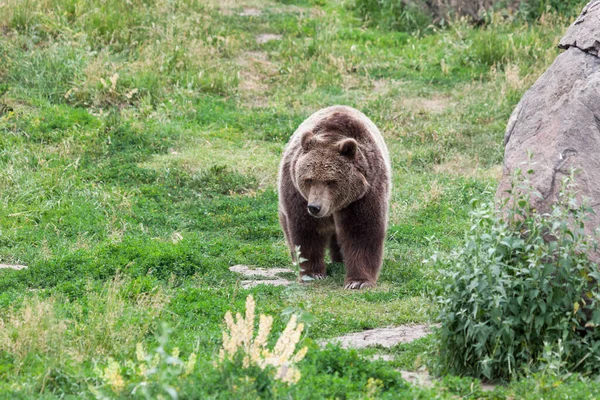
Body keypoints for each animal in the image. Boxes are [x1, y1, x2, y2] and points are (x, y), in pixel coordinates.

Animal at [278, 104, 392, 290]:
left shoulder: (363, 195)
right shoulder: (298, 195)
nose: (315, 207)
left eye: (331, 181)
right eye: (309, 179)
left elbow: (361, 232)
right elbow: (306, 232)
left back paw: (340, 261)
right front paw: (312, 273)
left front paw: (358, 281)